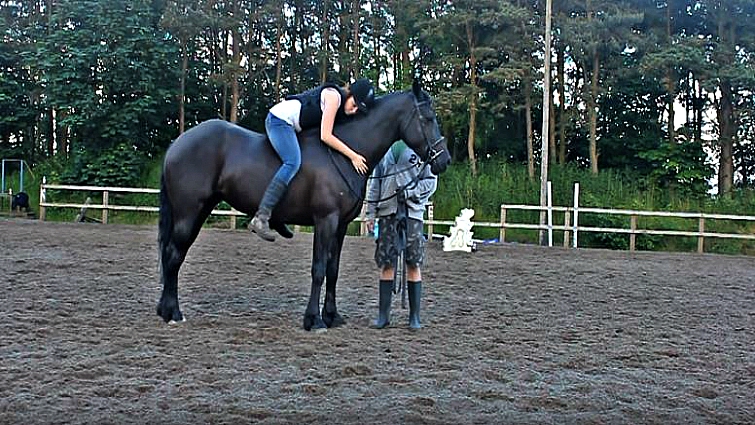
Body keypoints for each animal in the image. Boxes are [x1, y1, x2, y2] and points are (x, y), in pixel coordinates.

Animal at [156, 80, 451, 331]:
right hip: (189, 213)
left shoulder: (340, 226)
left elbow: (333, 270)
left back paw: (165, 310)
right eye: (428, 118)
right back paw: (173, 312)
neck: (344, 153)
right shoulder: (325, 220)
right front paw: (314, 320)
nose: (444, 160)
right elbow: (318, 269)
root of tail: (177, 143)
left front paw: (332, 316)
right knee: (173, 255)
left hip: (199, 211)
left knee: (173, 255)